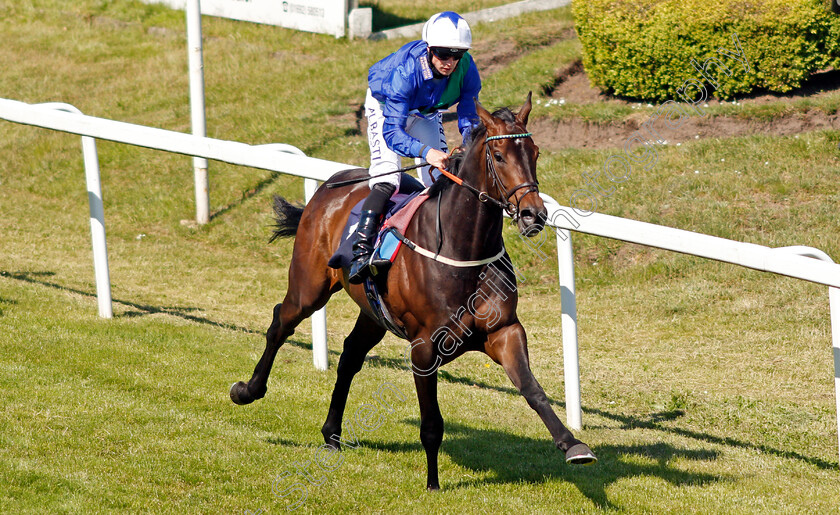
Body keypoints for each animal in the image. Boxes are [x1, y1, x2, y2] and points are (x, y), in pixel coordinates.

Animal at [231, 93, 596, 492]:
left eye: (535, 151)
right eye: (499, 156)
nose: (534, 215)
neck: (462, 249)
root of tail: (334, 182)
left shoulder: (505, 331)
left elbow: (533, 389)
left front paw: (573, 445)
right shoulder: (424, 348)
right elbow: (432, 422)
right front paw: (433, 483)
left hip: (372, 312)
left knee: (349, 356)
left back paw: (331, 436)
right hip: (309, 288)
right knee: (280, 323)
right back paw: (248, 391)